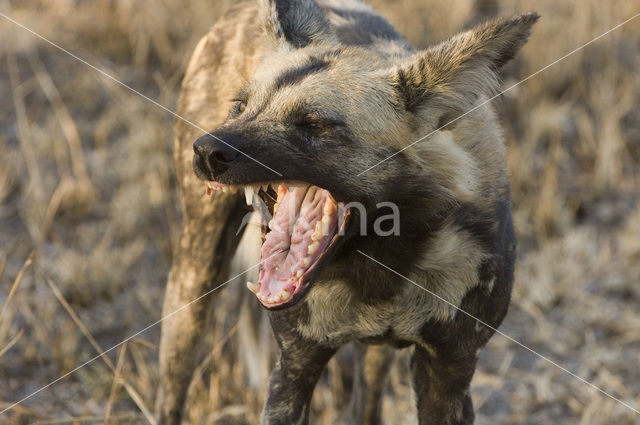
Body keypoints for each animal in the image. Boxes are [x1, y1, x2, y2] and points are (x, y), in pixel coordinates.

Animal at [155, 0, 536, 424]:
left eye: (312, 124)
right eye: (240, 107)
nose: (207, 151)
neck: (384, 254)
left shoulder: (449, 374)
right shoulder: (295, 365)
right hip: (194, 280)